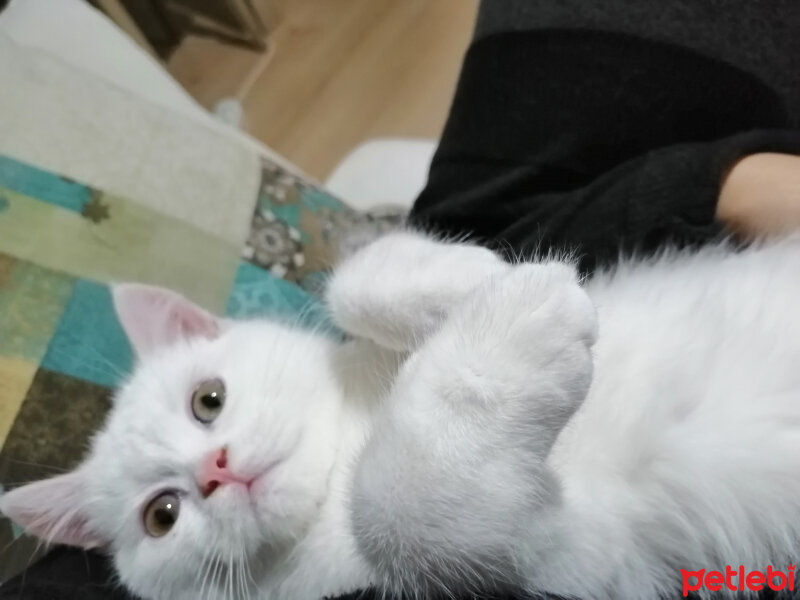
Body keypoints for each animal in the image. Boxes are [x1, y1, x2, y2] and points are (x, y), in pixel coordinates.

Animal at [1, 231, 800, 600]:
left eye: (208, 400)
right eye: (161, 516)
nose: (215, 472)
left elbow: (358, 274)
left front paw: (472, 279)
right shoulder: (584, 564)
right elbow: (399, 508)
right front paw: (510, 331)